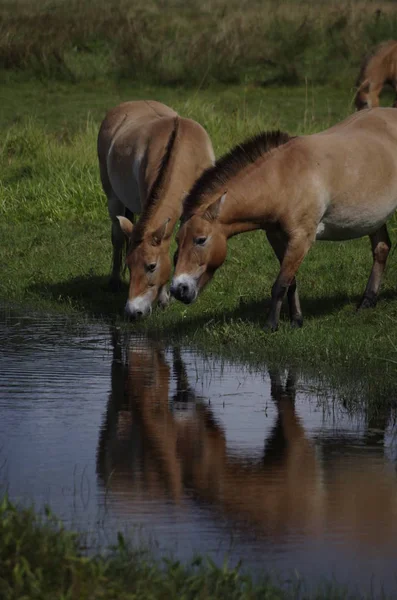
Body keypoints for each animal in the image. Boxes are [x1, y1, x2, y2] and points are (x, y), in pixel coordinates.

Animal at [96, 102, 213, 318]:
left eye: (151, 266)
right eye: (129, 266)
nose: (133, 312)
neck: (184, 153)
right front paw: (164, 299)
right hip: (113, 199)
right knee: (117, 238)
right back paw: (114, 281)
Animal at [171, 108, 397, 332]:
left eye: (200, 240)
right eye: (178, 241)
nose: (178, 289)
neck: (283, 179)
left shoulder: (301, 239)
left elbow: (280, 284)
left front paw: (270, 325)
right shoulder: (277, 238)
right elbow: (290, 281)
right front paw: (296, 320)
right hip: (373, 219)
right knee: (381, 248)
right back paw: (367, 302)